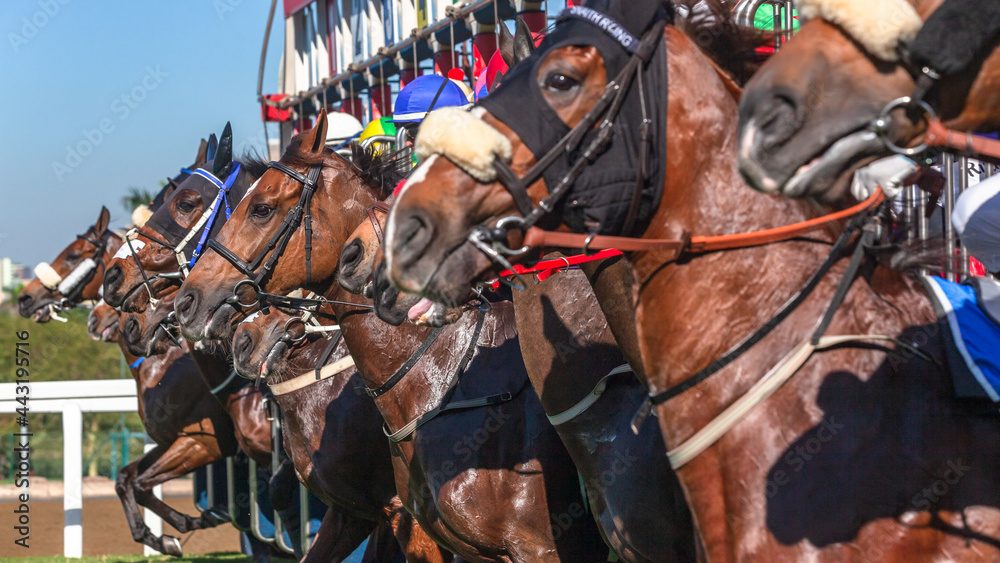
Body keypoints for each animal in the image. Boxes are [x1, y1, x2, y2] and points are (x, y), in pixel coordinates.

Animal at [20, 207, 236, 556]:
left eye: (73, 255)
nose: (25, 297)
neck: (160, 366)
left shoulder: (203, 442)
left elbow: (140, 483)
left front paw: (192, 523)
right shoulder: (169, 440)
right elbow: (125, 478)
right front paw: (166, 535)